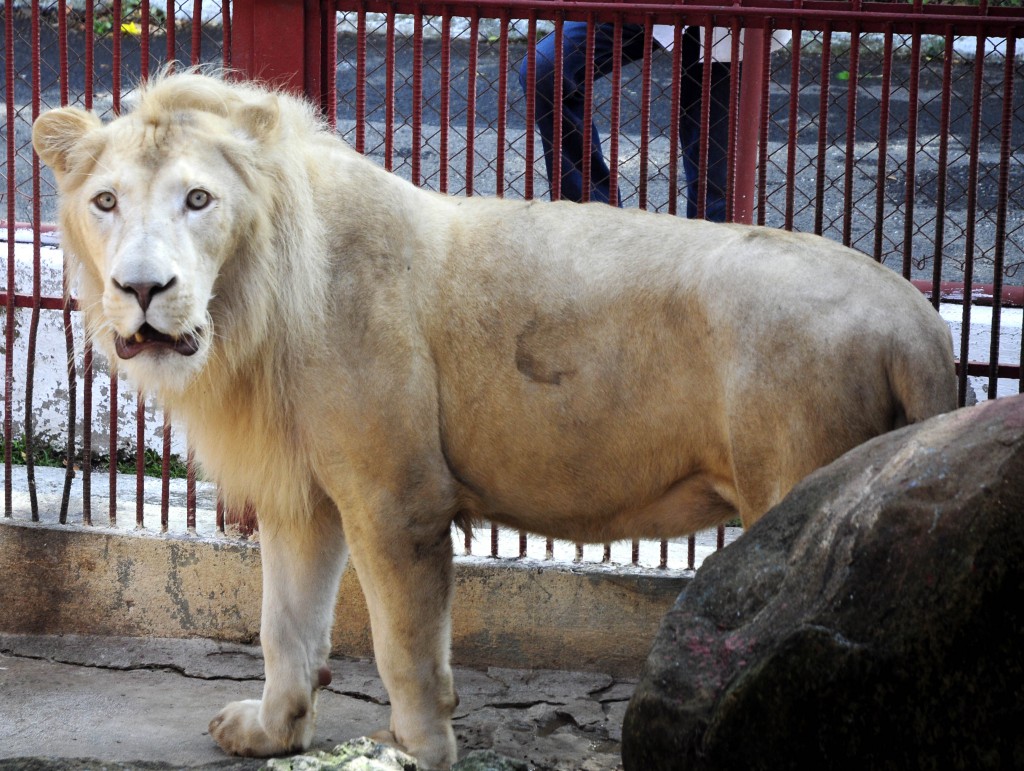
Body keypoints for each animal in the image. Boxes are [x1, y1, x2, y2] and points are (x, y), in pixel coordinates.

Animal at [33, 72, 956, 769]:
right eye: (106, 201)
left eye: (198, 199)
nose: (142, 288)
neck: (249, 308)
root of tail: (918, 320)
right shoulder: (305, 498)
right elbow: (284, 629)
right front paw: (270, 731)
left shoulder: (397, 498)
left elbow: (405, 646)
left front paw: (414, 751)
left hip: (803, 501)